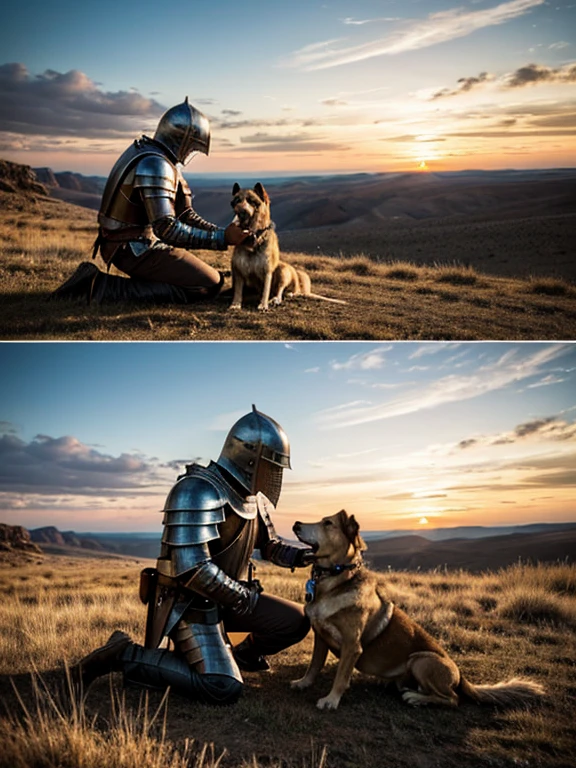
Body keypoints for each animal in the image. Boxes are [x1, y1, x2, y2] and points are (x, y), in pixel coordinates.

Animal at [230, 182, 346, 310]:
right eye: (236, 201)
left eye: (251, 201)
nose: (240, 211)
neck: (254, 237)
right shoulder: (238, 270)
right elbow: (238, 290)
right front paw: (235, 304)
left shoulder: (267, 270)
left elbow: (266, 289)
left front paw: (263, 305)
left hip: (282, 270)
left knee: (281, 292)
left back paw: (276, 299)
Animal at [290, 510, 548, 712]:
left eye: (327, 523)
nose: (296, 524)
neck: (335, 582)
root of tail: (461, 676)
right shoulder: (321, 636)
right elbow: (314, 664)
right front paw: (303, 682)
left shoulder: (353, 646)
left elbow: (341, 677)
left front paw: (331, 700)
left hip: (422, 661)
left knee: (453, 699)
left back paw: (416, 698)